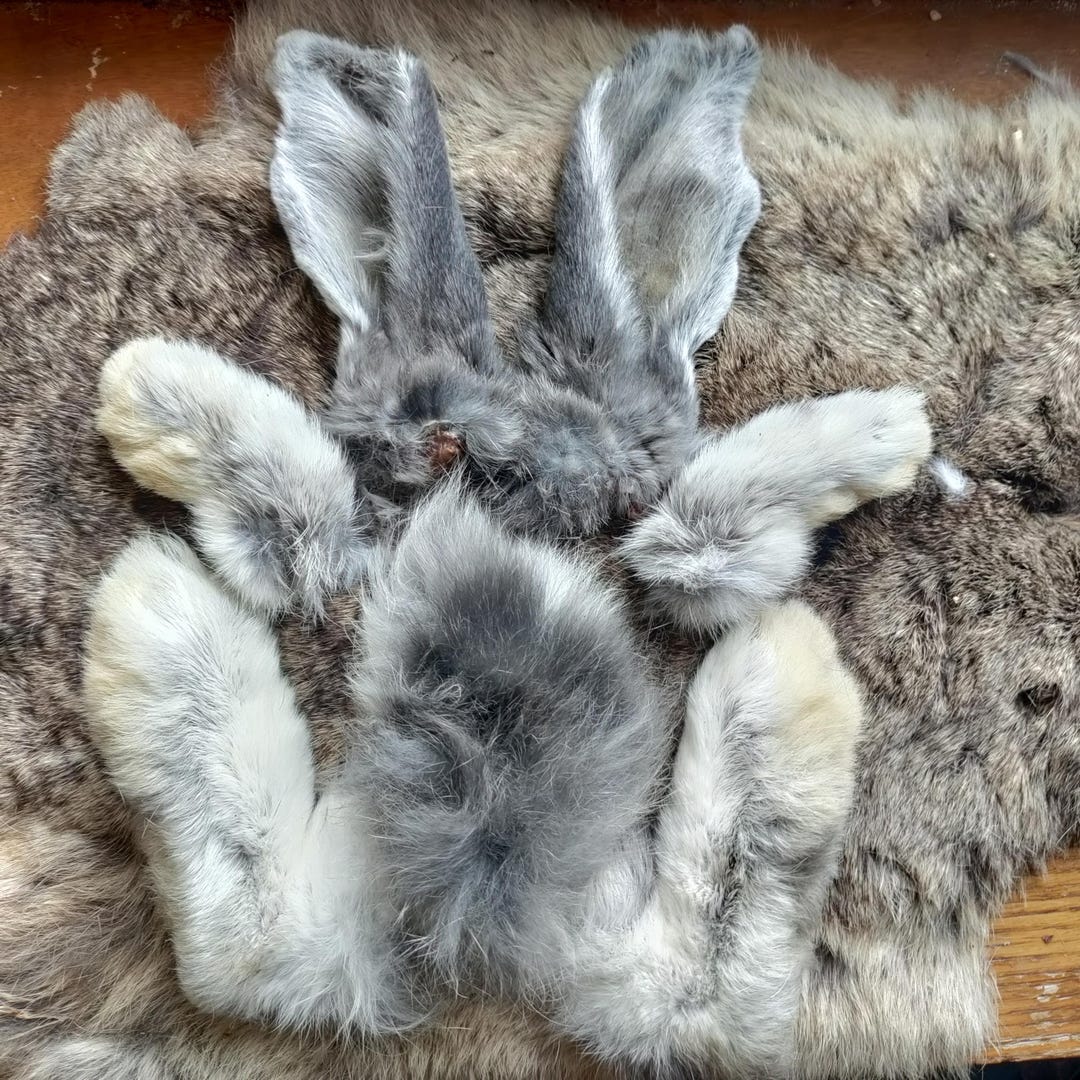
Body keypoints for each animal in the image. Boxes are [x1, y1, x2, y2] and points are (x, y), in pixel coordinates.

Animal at [83, 27, 932, 1077]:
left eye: (606, 482)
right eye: (442, 442)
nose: (486, 468)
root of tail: (484, 921)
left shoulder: (678, 544)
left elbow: (709, 530)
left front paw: (889, 432)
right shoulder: (338, 542)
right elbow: (299, 515)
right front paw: (144, 389)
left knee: (705, 990)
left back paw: (785, 682)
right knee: (253, 939)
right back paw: (158, 618)